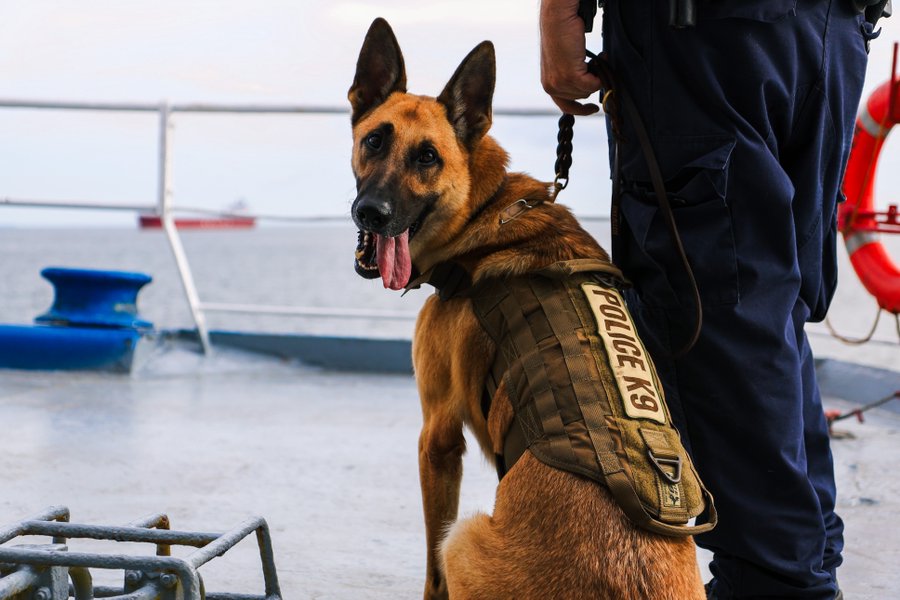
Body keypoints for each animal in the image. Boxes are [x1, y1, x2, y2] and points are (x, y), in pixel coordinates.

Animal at [348, 18, 708, 600]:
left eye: (428, 157)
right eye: (375, 140)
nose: (371, 213)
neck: (486, 211)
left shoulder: (437, 438)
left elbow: (430, 573)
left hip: (463, 537)